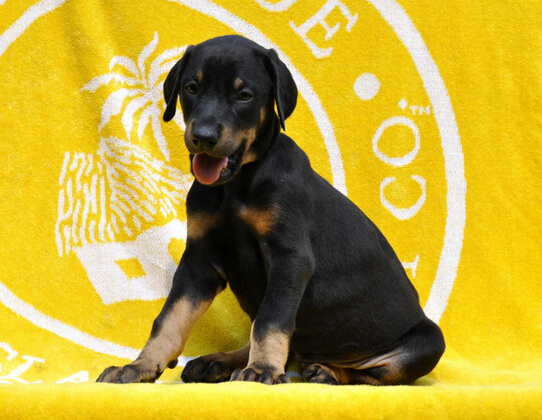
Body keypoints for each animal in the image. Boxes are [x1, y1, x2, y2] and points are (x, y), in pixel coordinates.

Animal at [97, 35, 445, 385]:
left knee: (366, 374)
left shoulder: (289, 255)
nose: (203, 137)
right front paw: (140, 366)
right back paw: (219, 361)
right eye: (191, 88)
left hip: (429, 342)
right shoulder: (198, 259)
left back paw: (325, 371)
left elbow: (271, 318)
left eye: (245, 96)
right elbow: (170, 317)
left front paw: (263, 369)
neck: (235, 187)